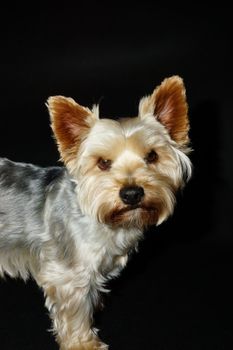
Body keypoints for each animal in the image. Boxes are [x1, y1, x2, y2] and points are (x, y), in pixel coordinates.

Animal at [0, 75, 191, 348]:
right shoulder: (67, 276)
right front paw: (83, 343)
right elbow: (74, 314)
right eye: (103, 163)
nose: (131, 194)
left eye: (152, 156)